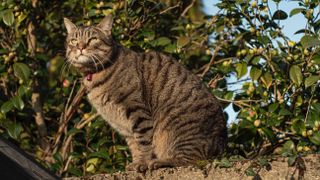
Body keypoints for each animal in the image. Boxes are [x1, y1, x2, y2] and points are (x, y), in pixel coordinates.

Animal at [63, 14, 228, 172]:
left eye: (93, 39)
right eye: (73, 41)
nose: (80, 47)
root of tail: (222, 147)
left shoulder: (137, 111)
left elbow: (143, 142)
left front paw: (142, 163)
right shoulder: (126, 128)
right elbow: (135, 146)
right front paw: (135, 163)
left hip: (179, 129)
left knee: (192, 160)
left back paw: (160, 162)